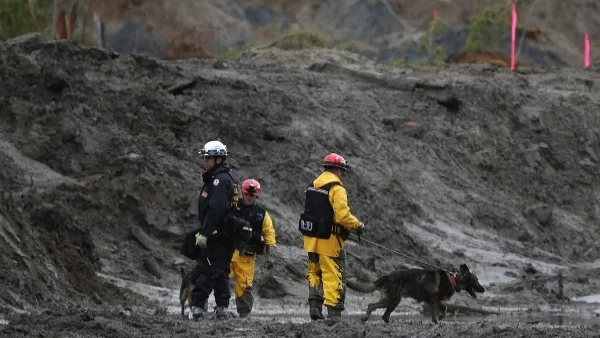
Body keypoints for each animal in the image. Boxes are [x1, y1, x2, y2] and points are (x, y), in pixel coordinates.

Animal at [350, 262, 486, 324]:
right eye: (476, 280)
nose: (483, 289)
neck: (454, 280)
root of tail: (388, 276)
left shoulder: (436, 300)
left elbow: (444, 308)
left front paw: (441, 317)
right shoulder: (433, 300)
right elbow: (436, 313)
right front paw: (437, 321)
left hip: (395, 301)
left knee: (384, 315)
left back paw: (389, 322)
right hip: (391, 299)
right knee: (371, 305)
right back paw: (365, 318)